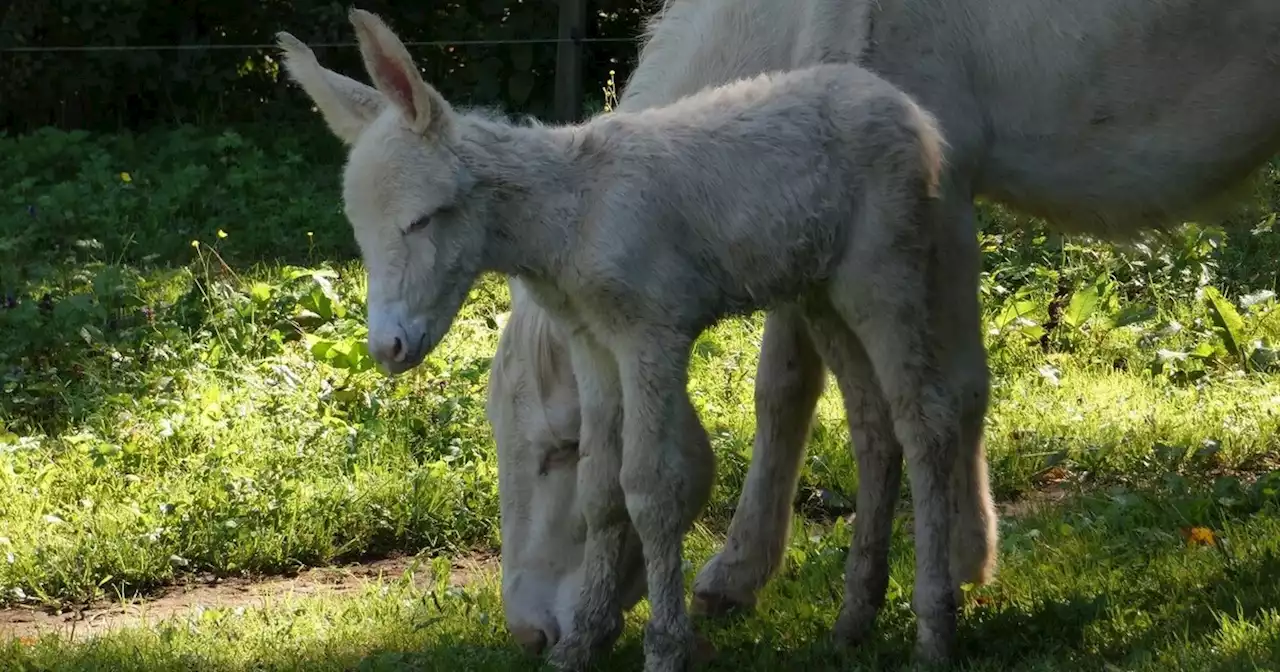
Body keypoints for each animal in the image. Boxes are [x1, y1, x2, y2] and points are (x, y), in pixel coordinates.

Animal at [280, 7, 962, 665]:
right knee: (874, 429)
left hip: (885, 271)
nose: (387, 349)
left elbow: (652, 489)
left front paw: (665, 646)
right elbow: (601, 489)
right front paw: (582, 643)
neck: (573, 213)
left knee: (924, 420)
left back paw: (935, 629)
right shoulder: (593, 344)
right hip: (823, 291)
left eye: (422, 220)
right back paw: (854, 622)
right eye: (361, 234)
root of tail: (909, 112)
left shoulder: (650, 336)